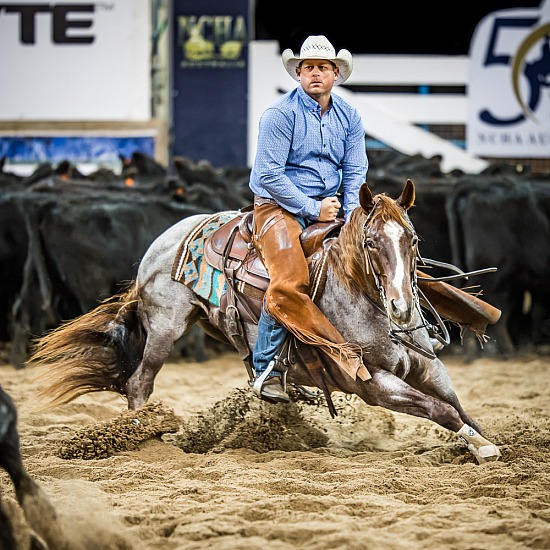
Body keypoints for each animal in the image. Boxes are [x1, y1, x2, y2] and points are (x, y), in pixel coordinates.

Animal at [30, 181, 504, 466]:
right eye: (370, 242)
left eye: (413, 239)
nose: (402, 308)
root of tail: (167, 238)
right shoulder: (373, 384)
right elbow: (440, 409)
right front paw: (482, 447)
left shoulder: (428, 366)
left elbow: (457, 405)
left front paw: (485, 441)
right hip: (165, 327)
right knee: (139, 382)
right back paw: (145, 438)